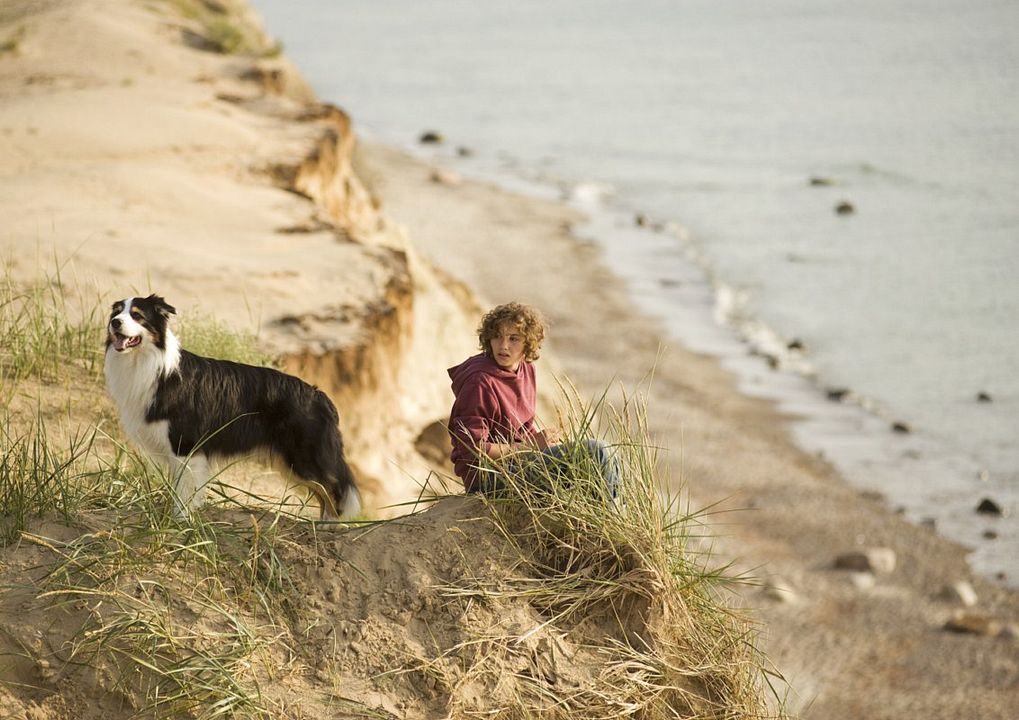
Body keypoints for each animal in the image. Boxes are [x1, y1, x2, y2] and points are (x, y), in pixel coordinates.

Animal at [103, 295, 358, 521]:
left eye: (137, 316)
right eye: (116, 313)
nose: (115, 322)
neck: (152, 364)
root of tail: (321, 396)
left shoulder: (185, 446)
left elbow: (184, 493)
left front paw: (179, 523)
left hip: (303, 456)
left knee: (335, 491)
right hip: (292, 462)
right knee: (325, 493)